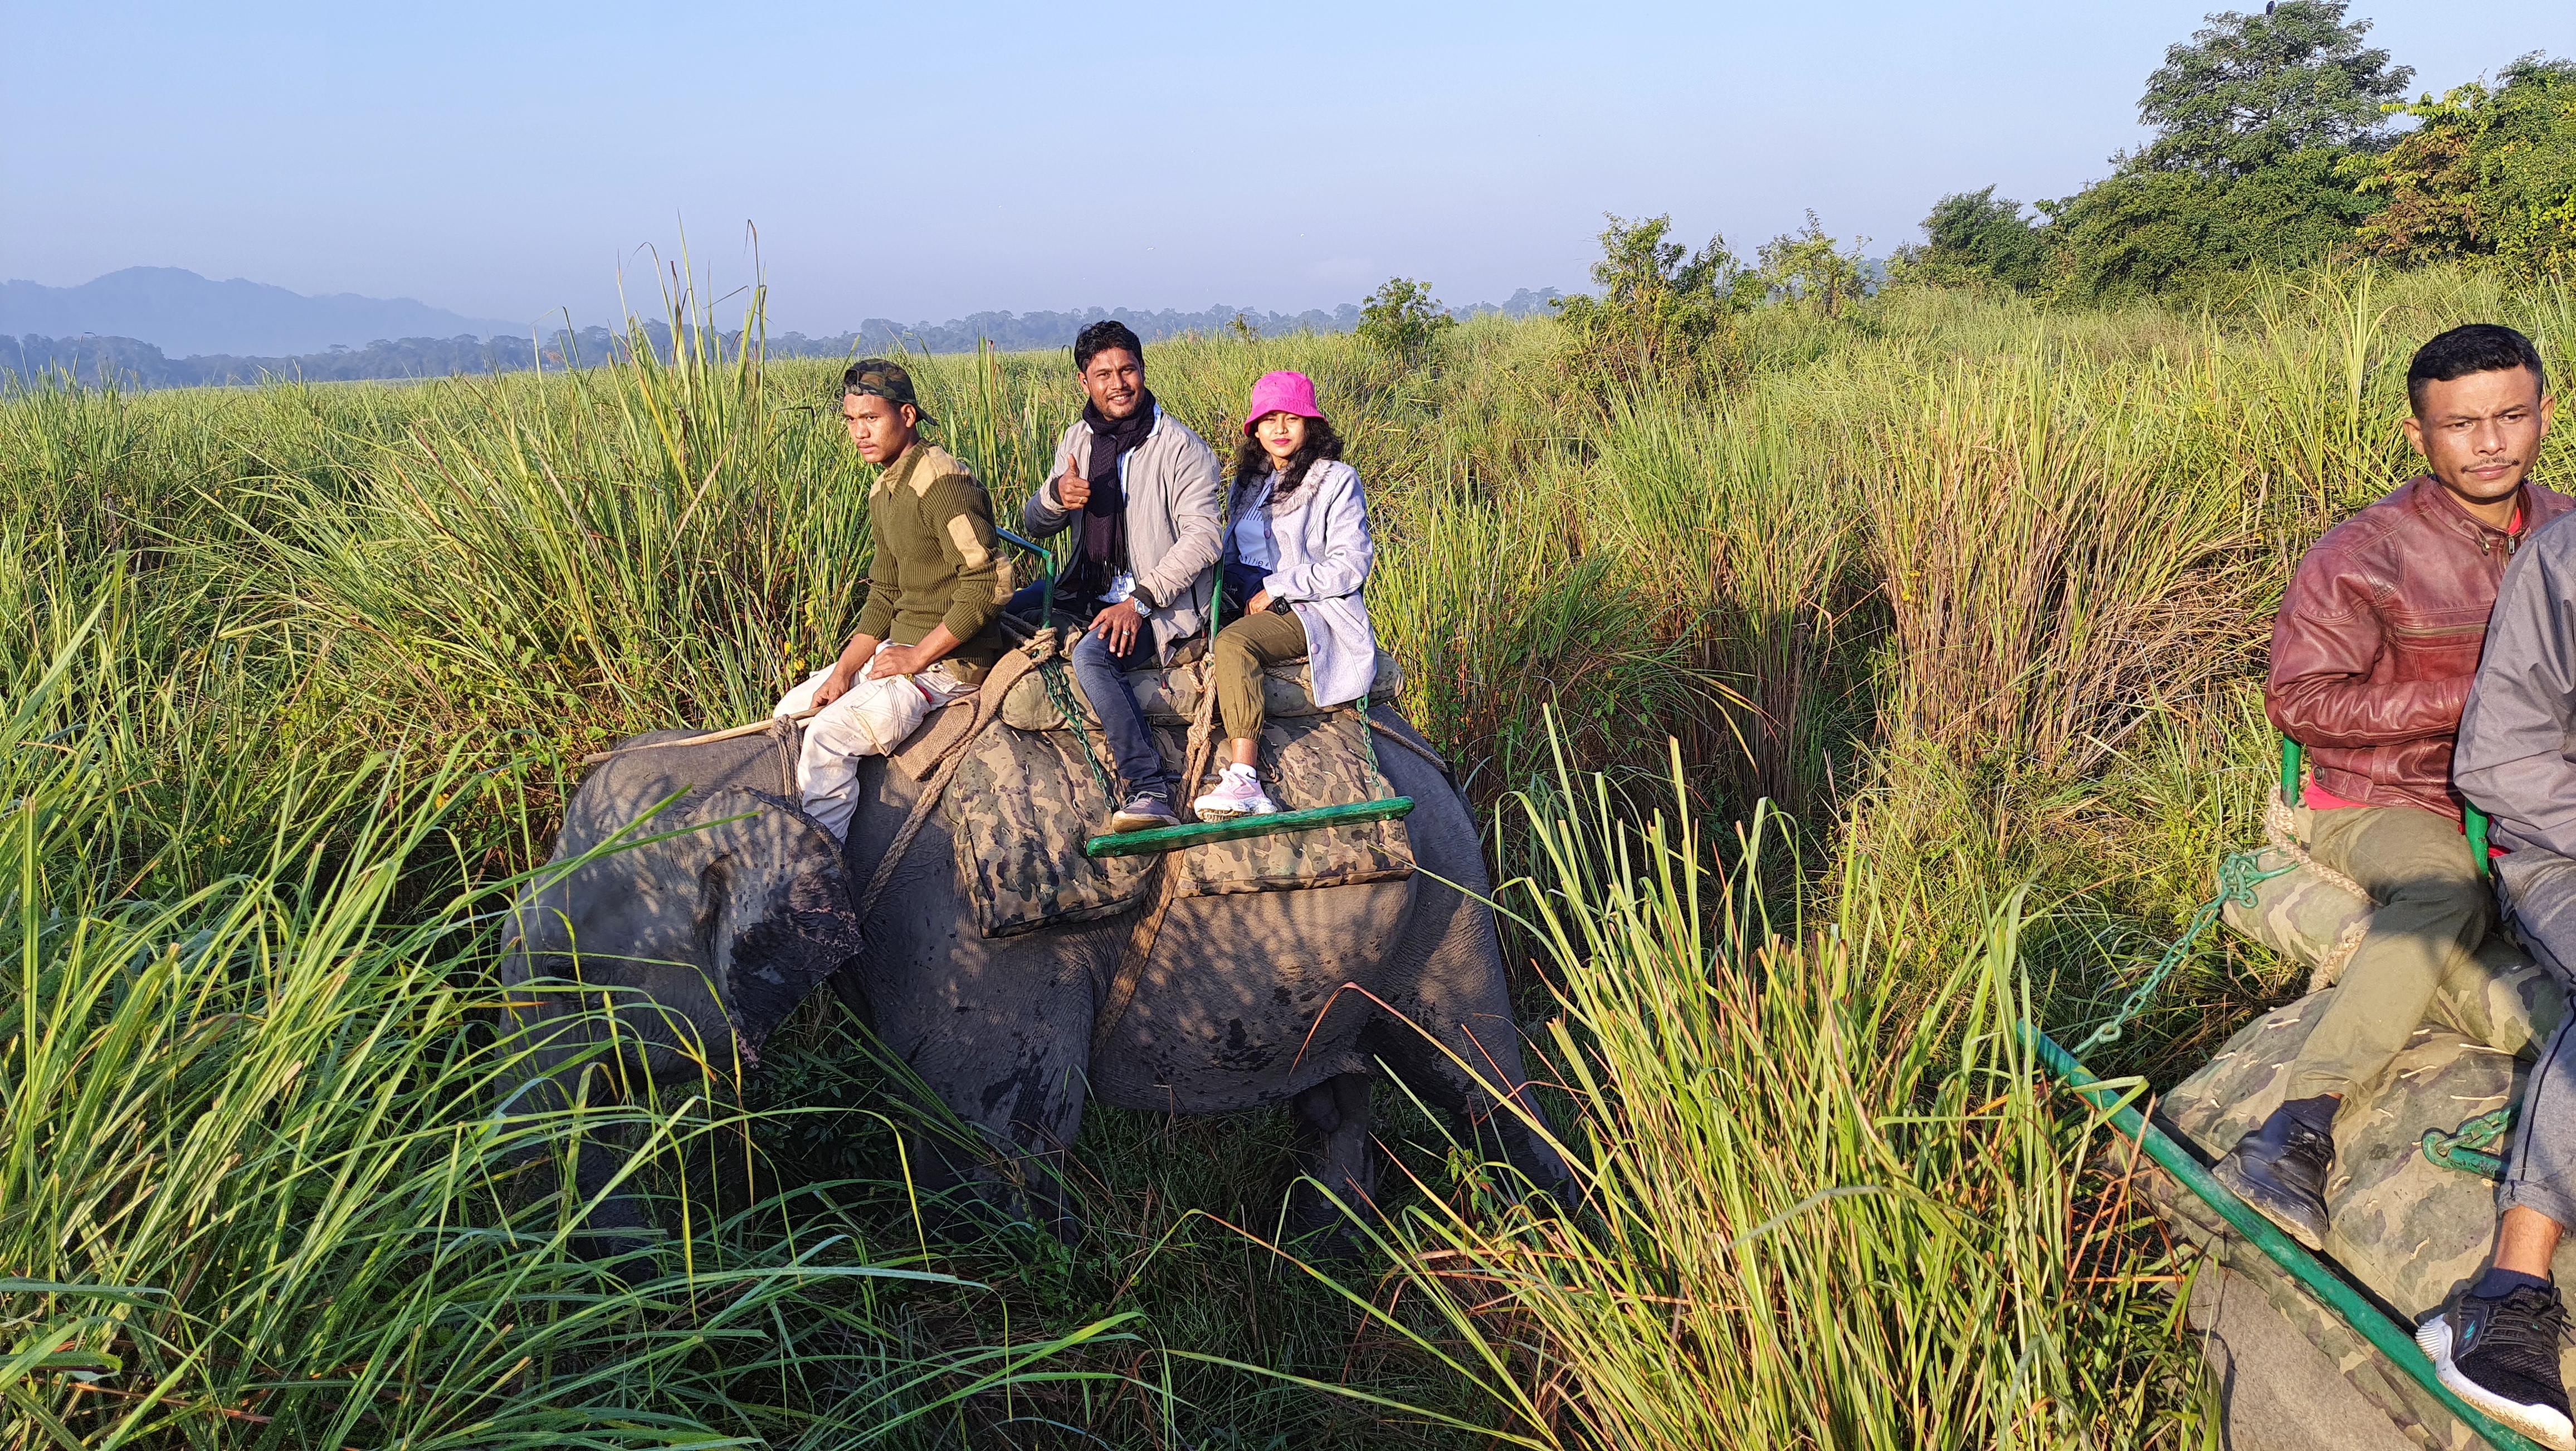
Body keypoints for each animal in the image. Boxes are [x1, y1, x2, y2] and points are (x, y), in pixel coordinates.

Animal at [486, 706, 1566, 1247]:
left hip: (1444, 902)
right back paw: (1322, 1247)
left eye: (564, 969)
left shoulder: (965, 936)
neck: (772, 763)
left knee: (1474, 1074)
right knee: (1340, 1087)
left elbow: (991, 1160)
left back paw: (1559, 1222)